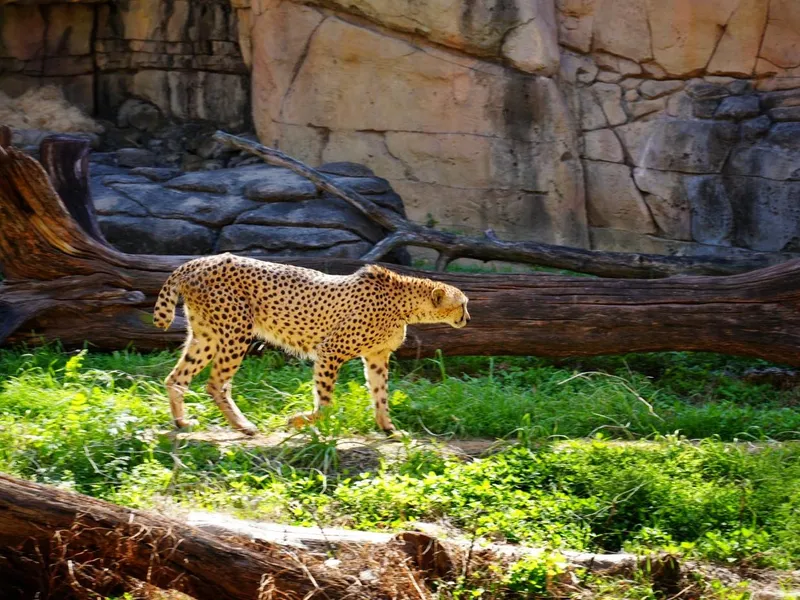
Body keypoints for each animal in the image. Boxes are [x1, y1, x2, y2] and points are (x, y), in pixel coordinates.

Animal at [153, 253, 470, 435]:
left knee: (176, 378)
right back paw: (243, 426)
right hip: (235, 333)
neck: (405, 302)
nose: (468, 318)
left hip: (206, 335)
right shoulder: (330, 351)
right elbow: (326, 399)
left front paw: (388, 428)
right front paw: (304, 421)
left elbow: (381, 395)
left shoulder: (377, 356)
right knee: (216, 383)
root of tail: (197, 261)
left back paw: (182, 423)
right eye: (463, 304)